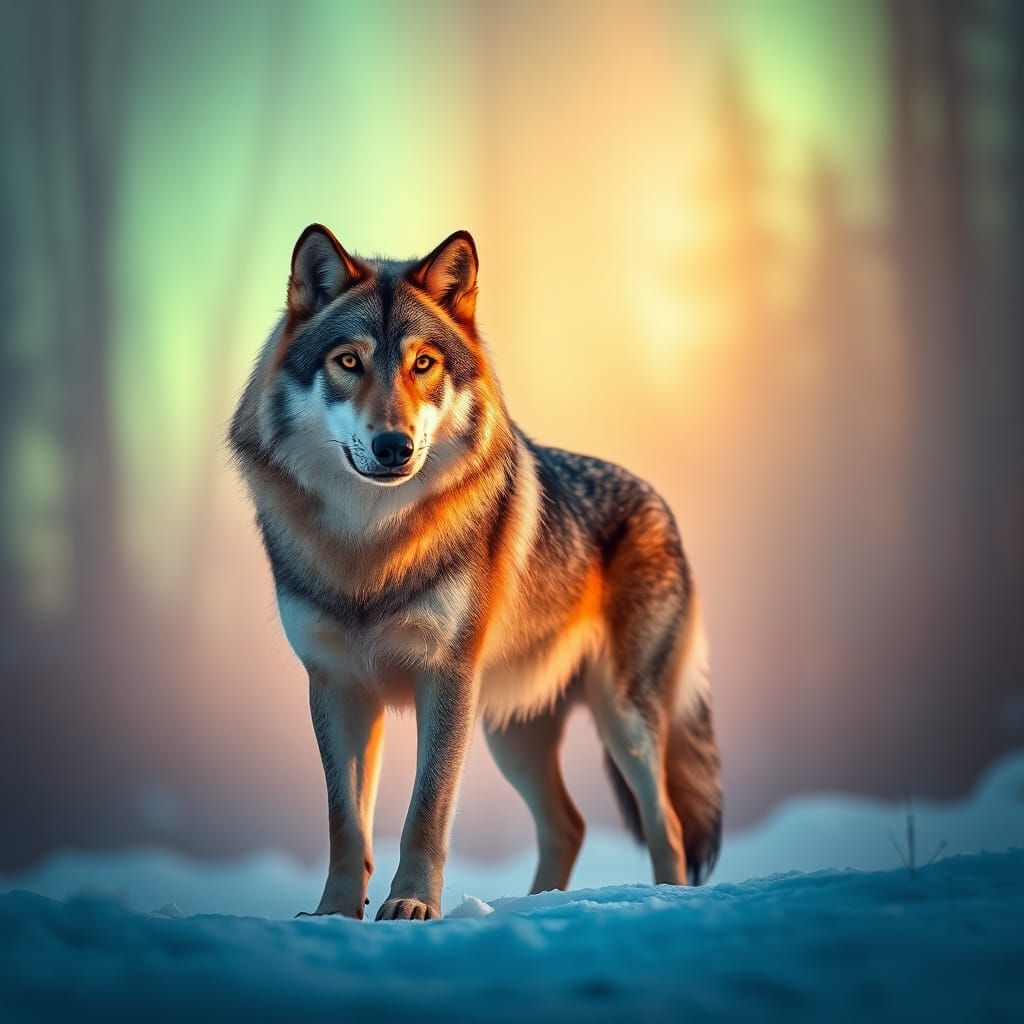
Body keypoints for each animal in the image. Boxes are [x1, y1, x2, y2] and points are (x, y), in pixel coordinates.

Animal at [229, 225, 722, 920]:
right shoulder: (337, 686)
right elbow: (344, 822)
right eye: (349, 362)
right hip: (511, 732)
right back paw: (536, 908)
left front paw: (411, 906)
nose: (393, 446)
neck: (368, 546)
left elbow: (426, 810)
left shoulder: (446, 679)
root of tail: (660, 502)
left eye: (423, 364)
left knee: (668, 824)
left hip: (622, 722)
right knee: (569, 825)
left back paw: (664, 902)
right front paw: (334, 915)